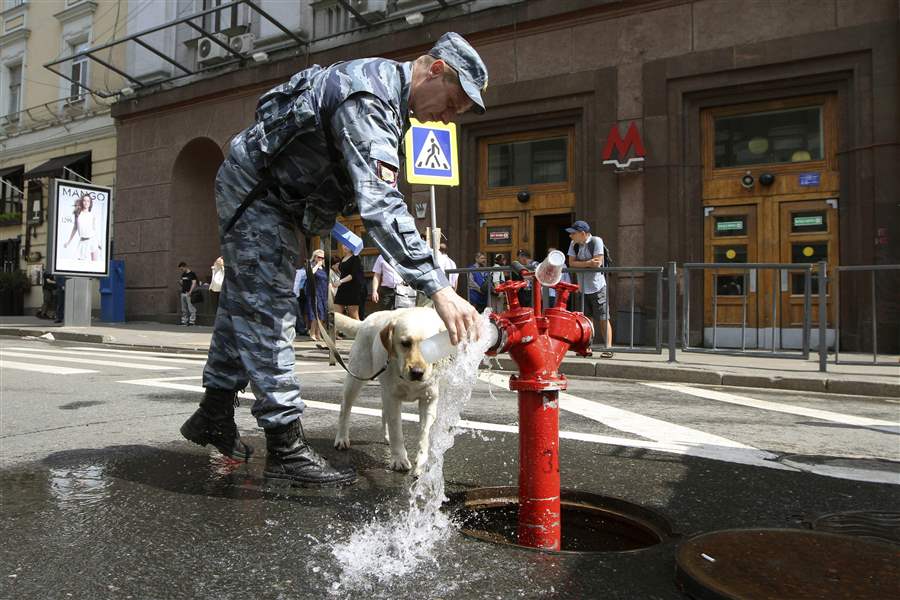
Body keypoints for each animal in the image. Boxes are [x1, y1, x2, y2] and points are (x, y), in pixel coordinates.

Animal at [332, 310, 444, 474]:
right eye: (405, 343)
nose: (417, 372)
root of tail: (365, 320)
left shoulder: (429, 399)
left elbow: (425, 434)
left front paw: (422, 463)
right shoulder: (392, 398)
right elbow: (396, 431)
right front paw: (399, 459)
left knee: (383, 410)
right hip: (356, 378)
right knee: (345, 408)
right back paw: (341, 437)